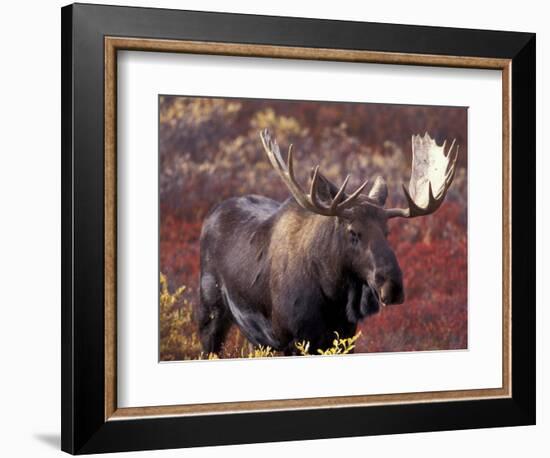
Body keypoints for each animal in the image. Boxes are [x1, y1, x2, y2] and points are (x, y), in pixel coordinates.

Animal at [198, 129, 458, 354]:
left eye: (387, 232)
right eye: (353, 232)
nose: (392, 286)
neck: (334, 295)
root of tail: (211, 214)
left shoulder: (344, 336)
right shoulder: (290, 338)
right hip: (211, 314)